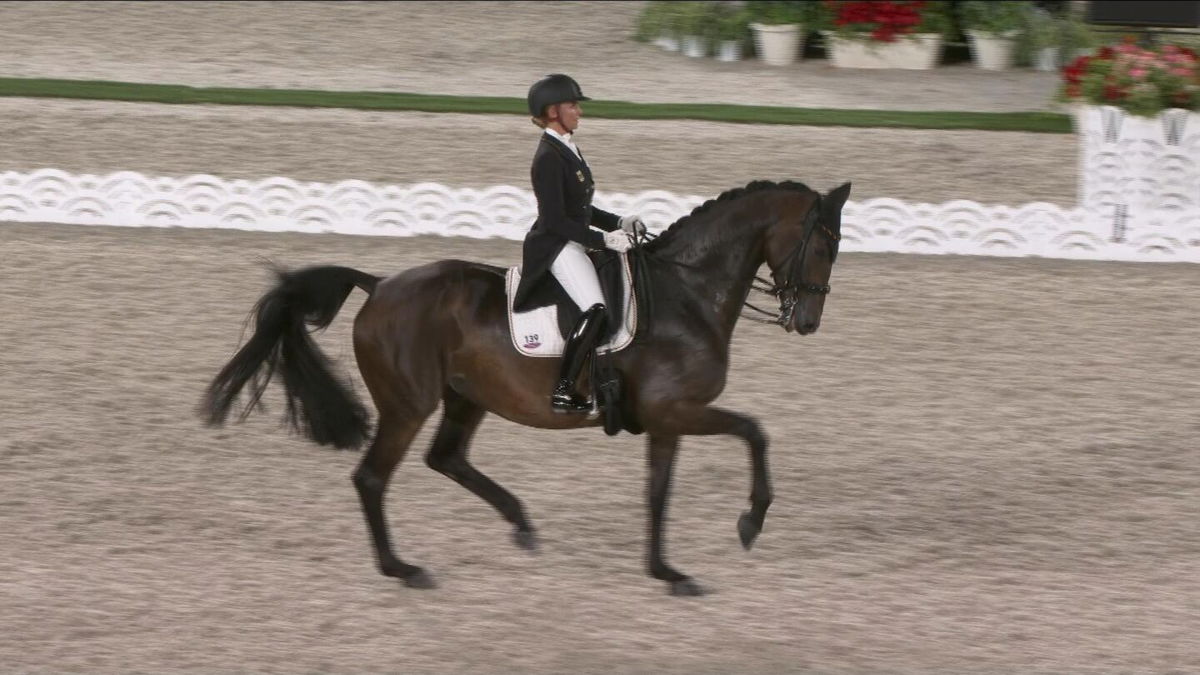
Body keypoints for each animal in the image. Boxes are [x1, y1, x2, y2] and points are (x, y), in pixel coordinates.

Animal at [201, 178, 849, 593]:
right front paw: (750, 522)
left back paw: (521, 525)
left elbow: (659, 492)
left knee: (446, 458)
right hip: (409, 404)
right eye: (823, 244)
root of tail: (380, 284)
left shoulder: (665, 420)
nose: (808, 321)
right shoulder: (677, 409)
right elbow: (754, 432)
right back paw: (402, 569)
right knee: (373, 477)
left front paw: (668, 573)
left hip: (466, 397)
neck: (687, 293)